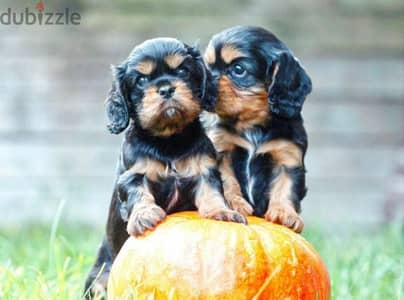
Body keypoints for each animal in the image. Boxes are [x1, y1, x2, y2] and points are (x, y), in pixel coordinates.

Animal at [83, 37, 245, 298]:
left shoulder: (205, 169)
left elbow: (211, 193)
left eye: (182, 70)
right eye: (141, 80)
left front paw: (221, 212)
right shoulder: (133, 175)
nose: (166, 89)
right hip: (99, 281)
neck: (169, 141)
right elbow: (139, 195)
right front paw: (144, 216)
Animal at [205, 25, 312, 233]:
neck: (251, 124)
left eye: (238, 70)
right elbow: (227, 180)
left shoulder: (287, 157)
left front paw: (285, 214)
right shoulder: (222, 149)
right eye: (207, 67)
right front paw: (235, 204)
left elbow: (285, 187)